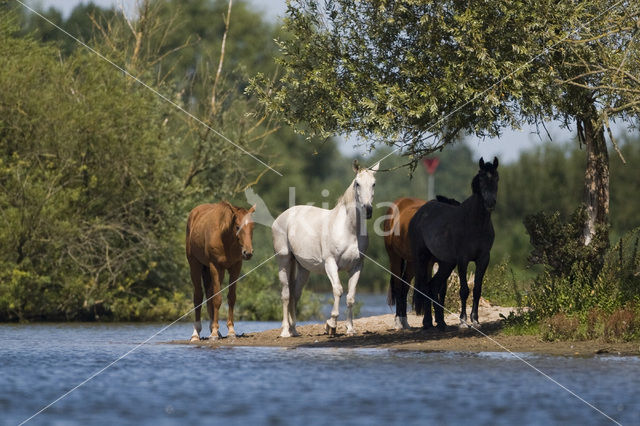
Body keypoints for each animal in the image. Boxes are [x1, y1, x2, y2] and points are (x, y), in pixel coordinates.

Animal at [185, 201, 255, 342]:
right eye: (237, 226)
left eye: (252, 227)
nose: (248, 252)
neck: (225, 239)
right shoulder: (215, 267)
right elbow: (217, 299)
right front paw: (213, 334)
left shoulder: (235, 267)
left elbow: (231, 298)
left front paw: (230, 330)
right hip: (195, 265)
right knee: (198, 296)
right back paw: (196, 334)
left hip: (214, 271)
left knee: (209, 294)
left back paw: (214, 329)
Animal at [272, 160, 380, 336]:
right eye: (357, 183)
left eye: (374, 183)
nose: (368, 210)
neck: (349, 230)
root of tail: (282, 217)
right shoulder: (331, 263)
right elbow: (338, 290)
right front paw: (331, 324)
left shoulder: (357, 266)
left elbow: (351, 296)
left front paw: (350, 329)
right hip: (284, 261)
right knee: (286, 294)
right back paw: (286, 331)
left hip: (303, 268)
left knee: (295, 292)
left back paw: (294, 330)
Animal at [410, 156, 500, 330]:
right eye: (481, 178)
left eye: (497, 177)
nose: (490, 203)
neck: (475, 223)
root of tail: (420, 213)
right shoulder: (462, 260)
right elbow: (464, 290)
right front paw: (463, 321)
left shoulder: (483, 259)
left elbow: (477, 289)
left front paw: (475, 320)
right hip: (423, 258)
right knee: (425, 286)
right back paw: (427, 322)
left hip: (446, 263)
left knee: (433, 286)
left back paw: (441, 323)